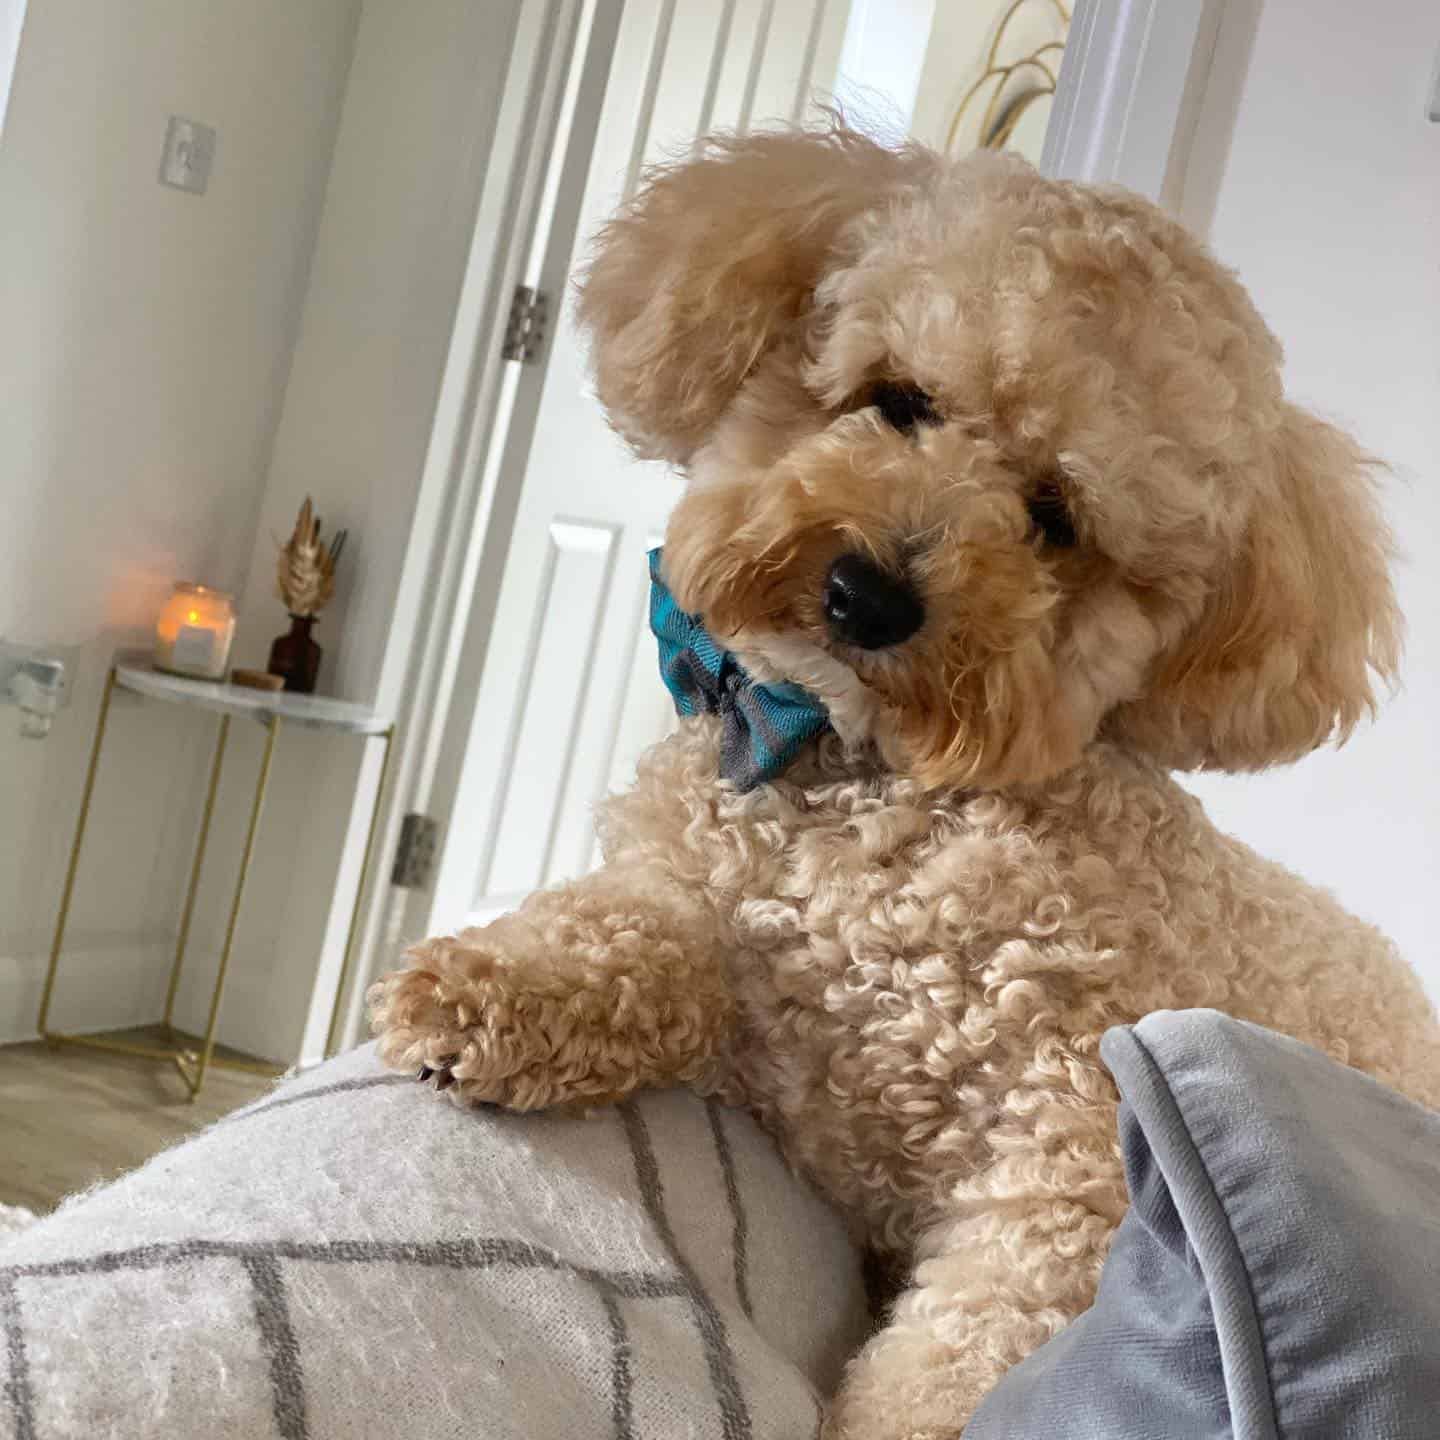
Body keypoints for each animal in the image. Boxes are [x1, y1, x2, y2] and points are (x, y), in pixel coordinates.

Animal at [371, 129, 1440, 1434]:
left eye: (1056, 517)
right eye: (899, 399)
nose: (868, 596)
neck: (863, 786)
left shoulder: (1065, 1170)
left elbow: (950, 1362)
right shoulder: (712, 911)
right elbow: (629, 924)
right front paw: (489, 984)